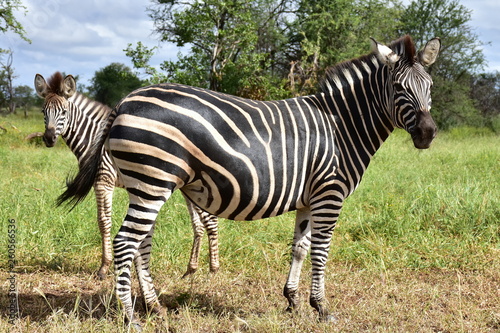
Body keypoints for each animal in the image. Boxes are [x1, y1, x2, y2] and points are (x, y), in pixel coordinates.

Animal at [34, 72, 220, 278]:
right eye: (43, 112)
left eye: (64, 113)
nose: (49, 139)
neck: (93, 138)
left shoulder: (103, 181)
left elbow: (104, 221)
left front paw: (104, 267)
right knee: (199, 223)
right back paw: (191, 270)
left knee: (210, 220)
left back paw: (213, 269)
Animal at [59, 36, 442, 324]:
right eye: (398, 87)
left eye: (430, 87)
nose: (427, 134)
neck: (341, 127)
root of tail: (125, 100)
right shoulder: (329, 193)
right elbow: (321, 251)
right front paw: (322, 308)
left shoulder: (309, 198)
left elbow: (299, 248)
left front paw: (293, 301)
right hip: (152, 182)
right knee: (126, 243)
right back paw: (130, 317)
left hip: (144, 185)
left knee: (140, 244)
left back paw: (155, 307)